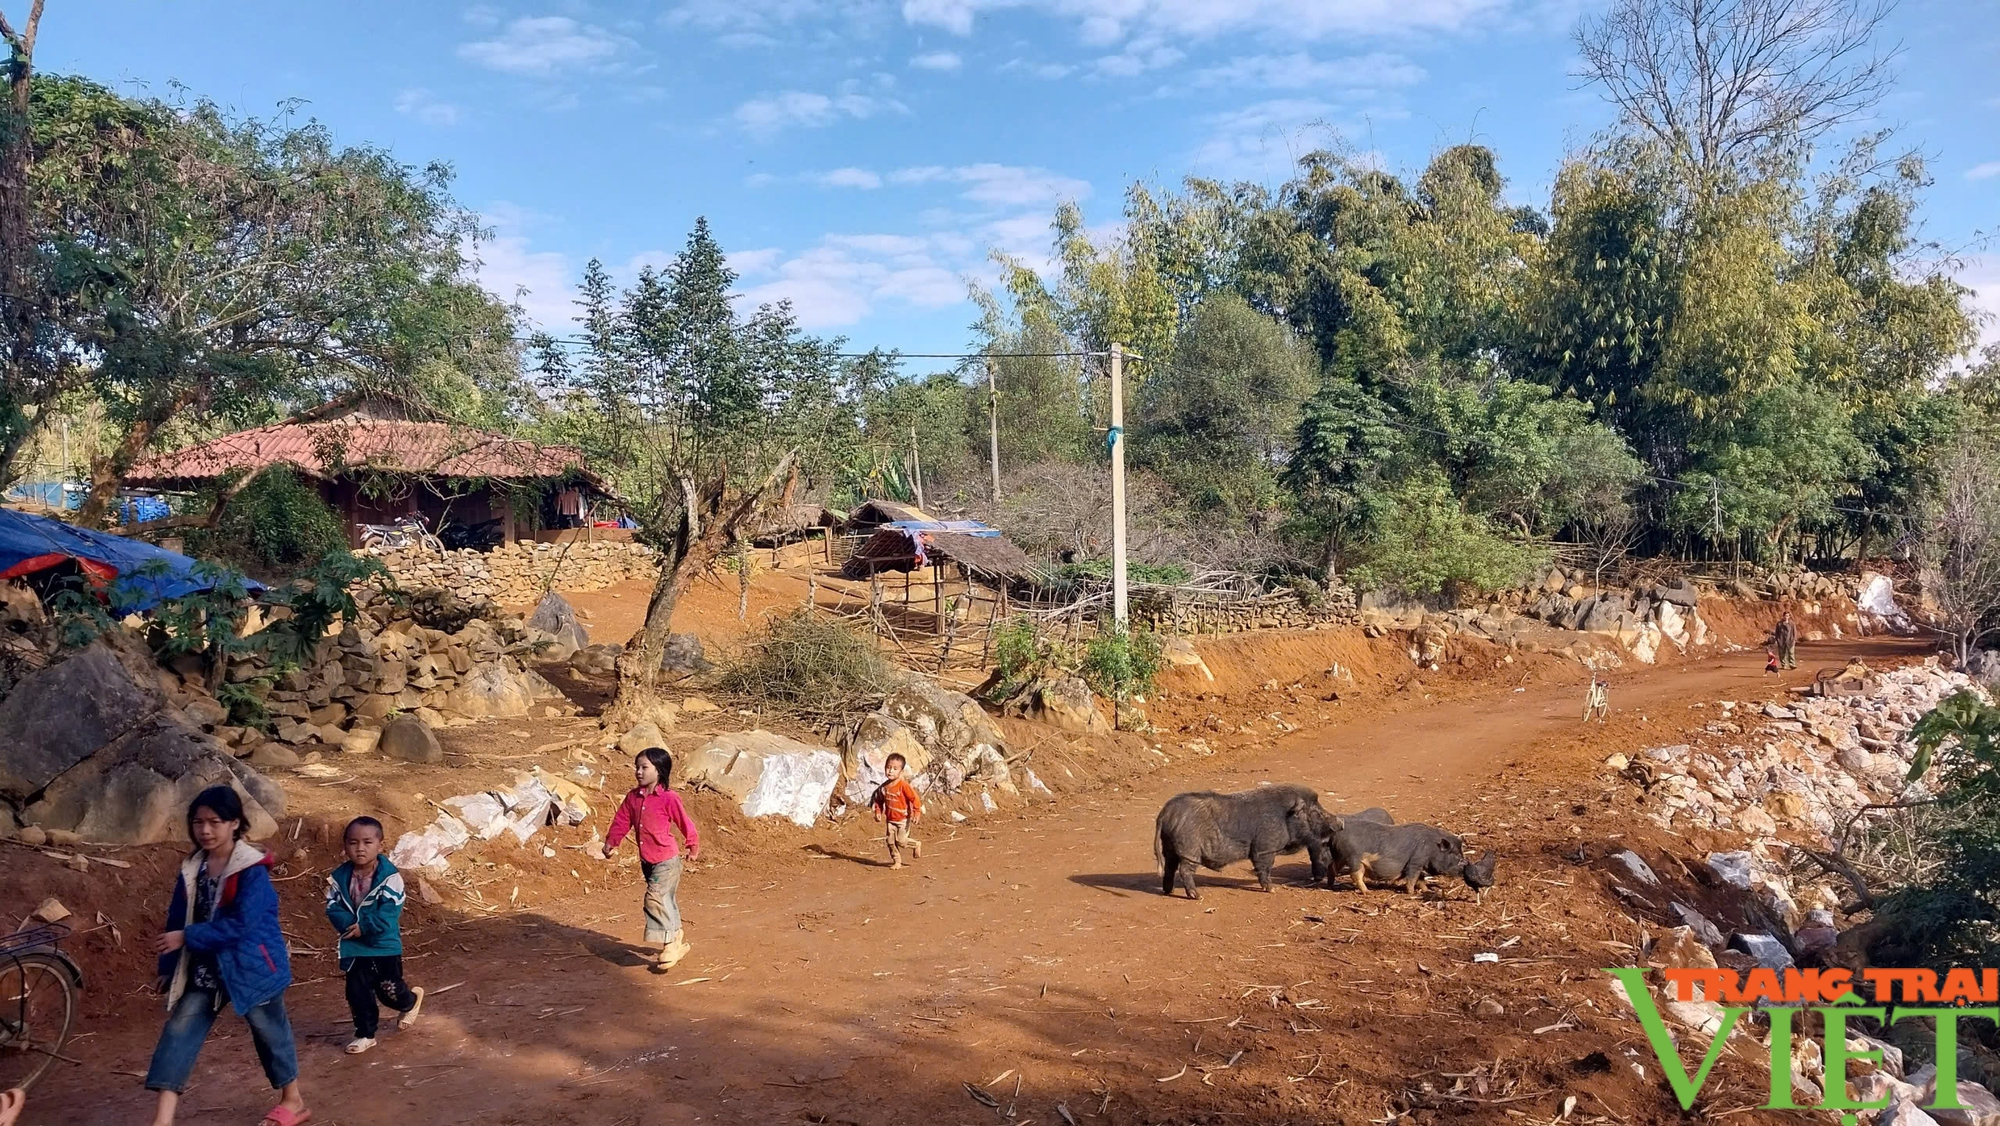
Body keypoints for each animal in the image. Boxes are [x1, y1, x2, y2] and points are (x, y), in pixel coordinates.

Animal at [1152, 784, 1336, 900]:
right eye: (1316, 812)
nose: (1339, 822)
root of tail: (1166, 813)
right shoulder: (1265, 848)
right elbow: (1264, 868)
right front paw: (1272, 890)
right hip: (1189, 850)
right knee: (1184, 870)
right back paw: (1197, 896)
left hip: (1168, 847)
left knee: (1169, 868)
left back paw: (1168, 891)